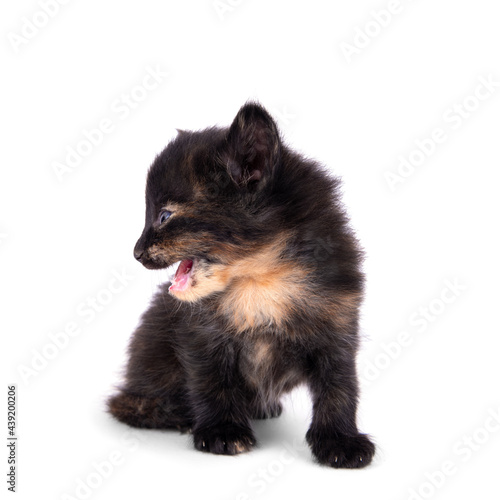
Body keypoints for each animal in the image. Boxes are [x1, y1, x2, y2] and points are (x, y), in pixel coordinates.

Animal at [109, 102, 376, 468]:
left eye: (164, 216)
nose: (136, 253)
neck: (262, 278)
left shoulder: (339, 325)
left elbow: (340, 387)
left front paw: (339, 440)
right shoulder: (200, 335)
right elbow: (212, 382)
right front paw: (222, 432)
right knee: (127, 404)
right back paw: (172, 414)